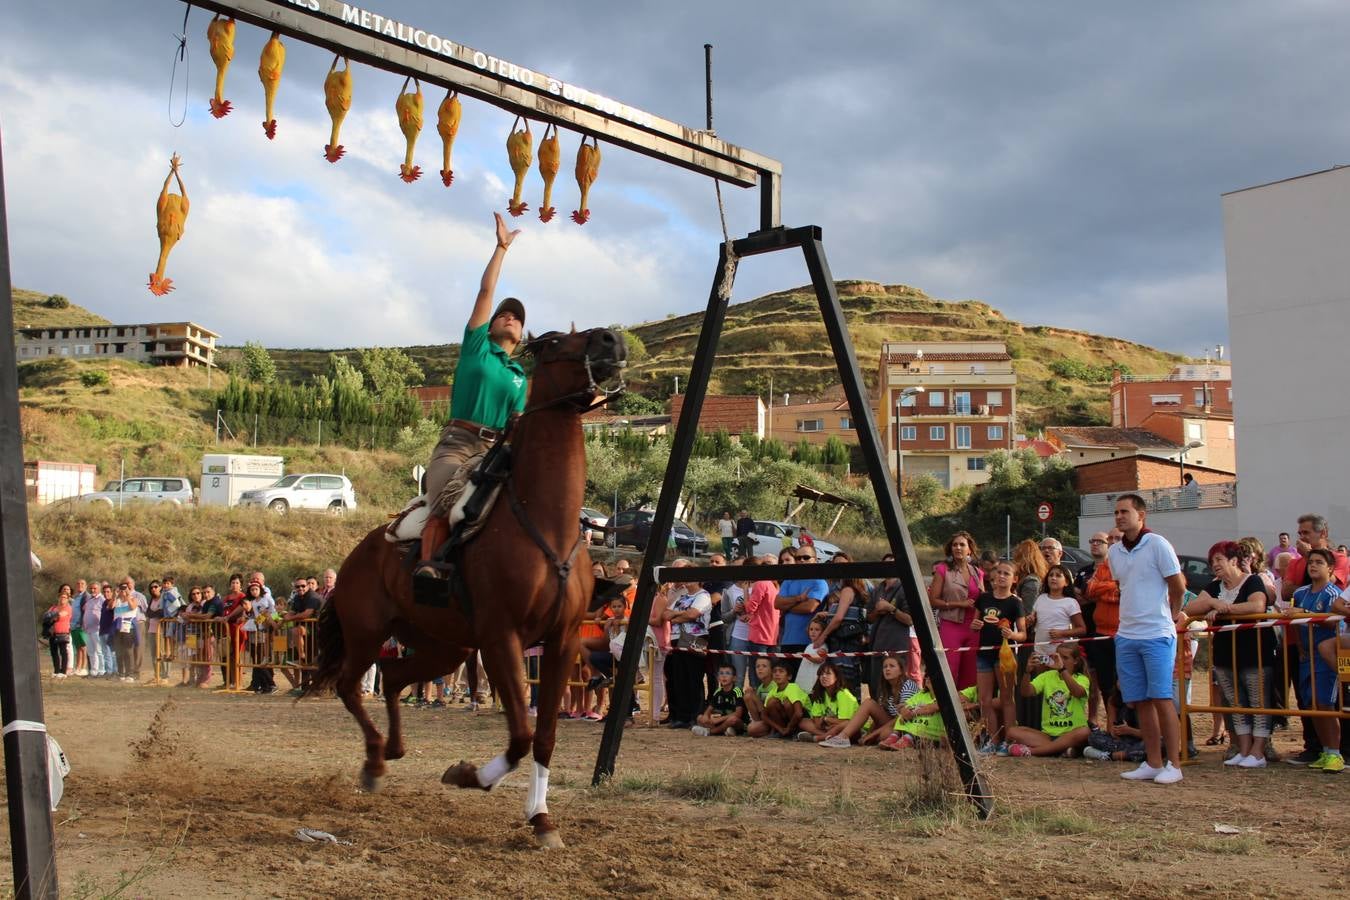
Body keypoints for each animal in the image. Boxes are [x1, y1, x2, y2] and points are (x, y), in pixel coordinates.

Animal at [306, 327, 626, 847]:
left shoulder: (560, 642)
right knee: (352, 686)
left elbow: (544, 737)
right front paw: (469, 775)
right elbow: (520, 736)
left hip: (445, 647)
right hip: (367, 633)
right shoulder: (501, 639)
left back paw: (392, 749)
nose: (612, 339)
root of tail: (359, 553)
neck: (547, 523)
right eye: (555, 341)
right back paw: (374, 761)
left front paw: (542, 818)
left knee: (392, 677)